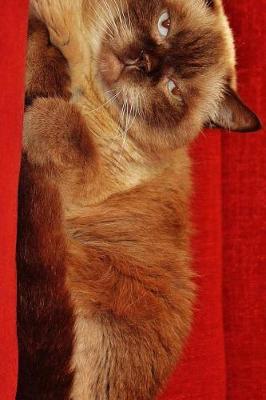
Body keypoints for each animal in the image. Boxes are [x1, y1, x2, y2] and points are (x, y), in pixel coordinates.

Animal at [17, 0, 262, 400]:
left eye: (173, 89)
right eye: (164, 25)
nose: (143, 62)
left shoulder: (88, 181)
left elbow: (72, 134)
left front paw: (41, 109)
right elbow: (43, 45)